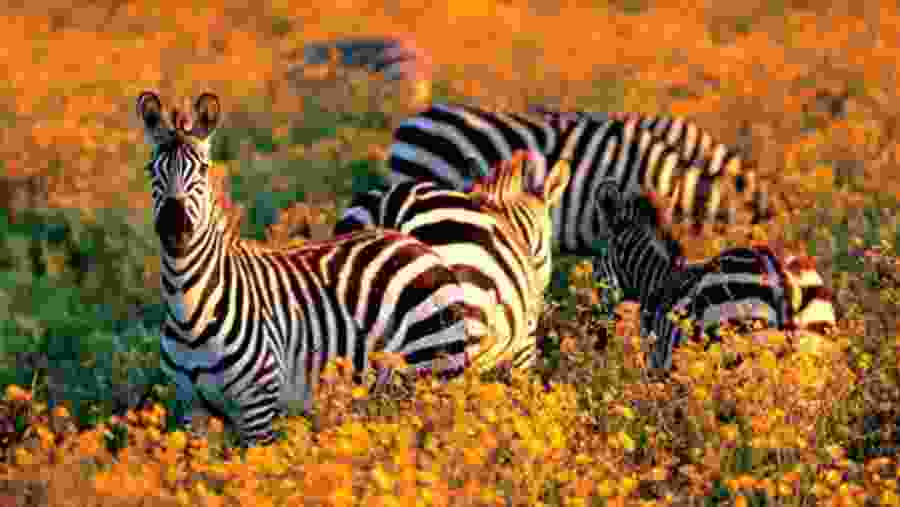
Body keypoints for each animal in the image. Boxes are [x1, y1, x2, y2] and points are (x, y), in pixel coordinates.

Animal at [137, 91, 475, 446]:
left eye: (203, 169)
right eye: (150, 169)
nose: (174, 229)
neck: (188, 311)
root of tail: (413, 242)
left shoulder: (258, 407)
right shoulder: (192, 408)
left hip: (433, 372)